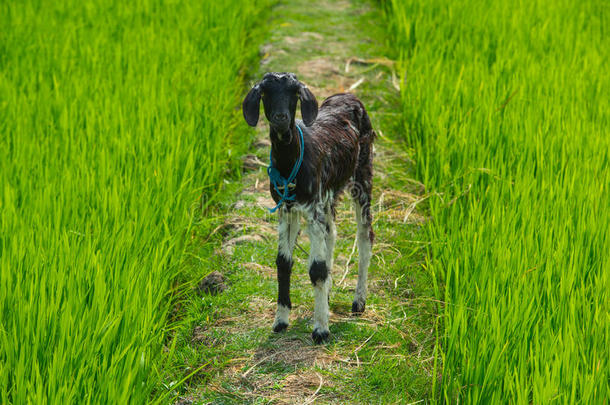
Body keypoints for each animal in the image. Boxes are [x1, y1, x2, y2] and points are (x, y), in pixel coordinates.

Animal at [242, 72, 376, 340]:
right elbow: (284, 263)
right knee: (331, 234)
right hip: (328, 195)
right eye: (265, 93)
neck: (290, 163)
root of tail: (348, 95)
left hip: (362, 177)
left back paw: (358, 302)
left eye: (294, 93)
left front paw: (321, 329)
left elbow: (316, 268)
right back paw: (328, 294)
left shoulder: (312, 207)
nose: (281, 118)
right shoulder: (286, 209)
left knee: (365, 237)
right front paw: (281, 320)